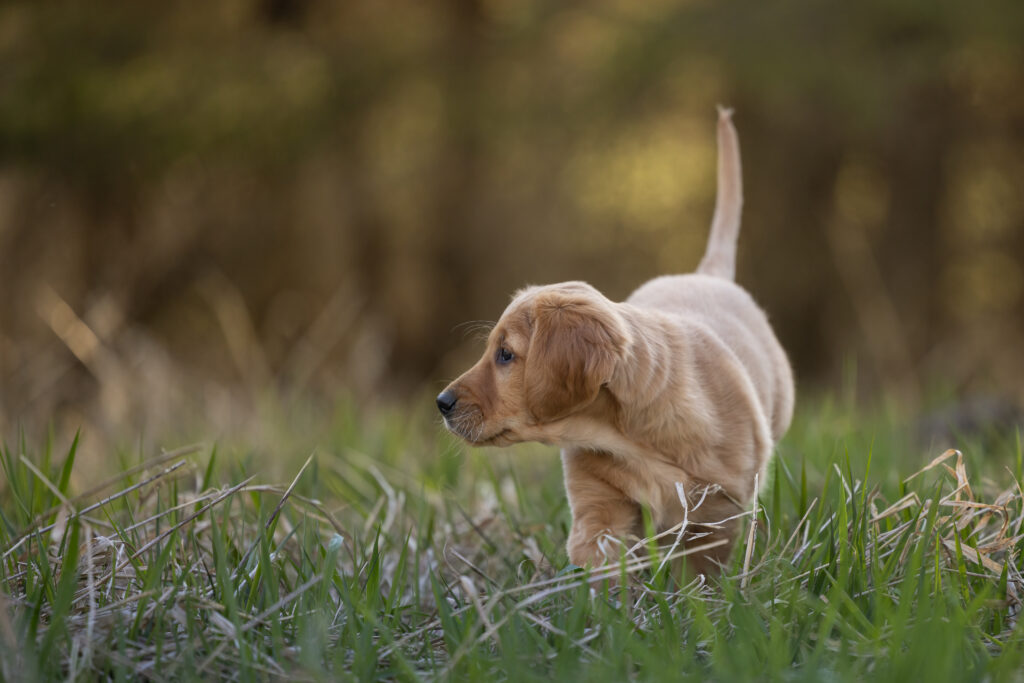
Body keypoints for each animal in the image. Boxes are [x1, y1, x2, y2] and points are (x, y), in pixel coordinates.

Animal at [436, 108, 794, 577]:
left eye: (506, 355)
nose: (441, 403)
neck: (630, 439)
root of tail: (707, 273)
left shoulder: (717, 514)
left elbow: (700, 573)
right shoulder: (598, 503)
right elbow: (602, 561)